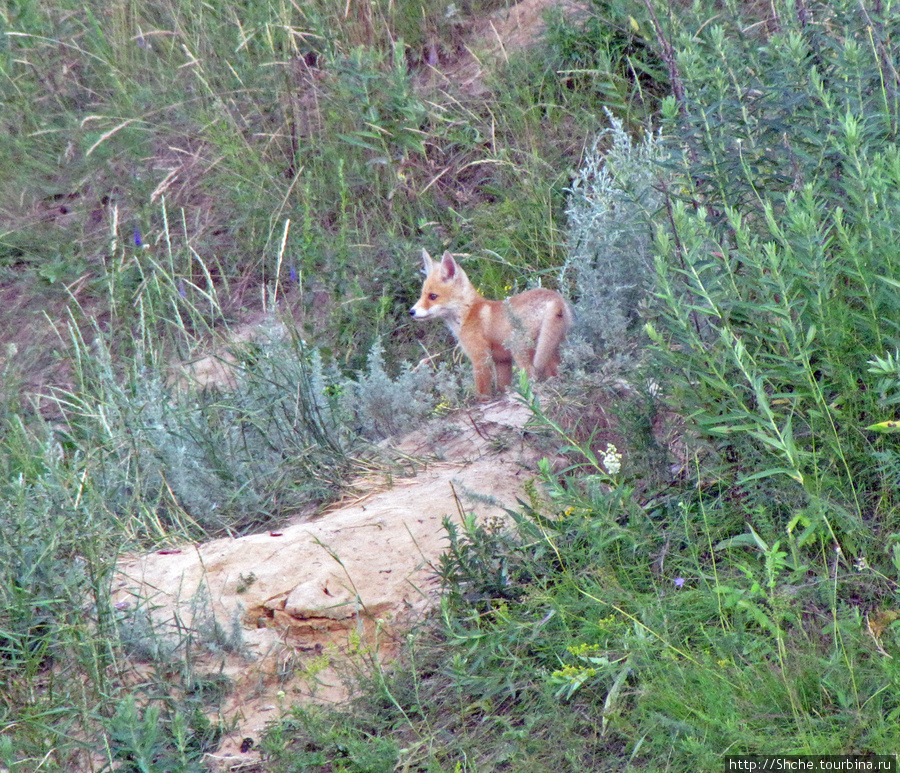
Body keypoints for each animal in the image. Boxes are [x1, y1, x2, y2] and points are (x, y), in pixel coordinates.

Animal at [412, 249, 572, 396]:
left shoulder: (480, 357)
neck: (469, 313)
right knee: (556, 370)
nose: (411, 311)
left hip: (521, 350)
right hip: (549, 347)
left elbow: (483, 392)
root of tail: (555, 297)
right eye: (421, 295)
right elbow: (502, 386)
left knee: (532, 375)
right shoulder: (502, 361)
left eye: (433, 296)